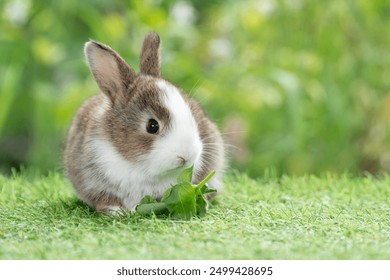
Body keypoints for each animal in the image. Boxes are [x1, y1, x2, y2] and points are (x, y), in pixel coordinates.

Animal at [64, 31, 225, 213]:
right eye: (152, 126)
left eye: (193, 113)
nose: (187, 156)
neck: (141, 165)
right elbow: (105, 200)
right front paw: (116, 212)